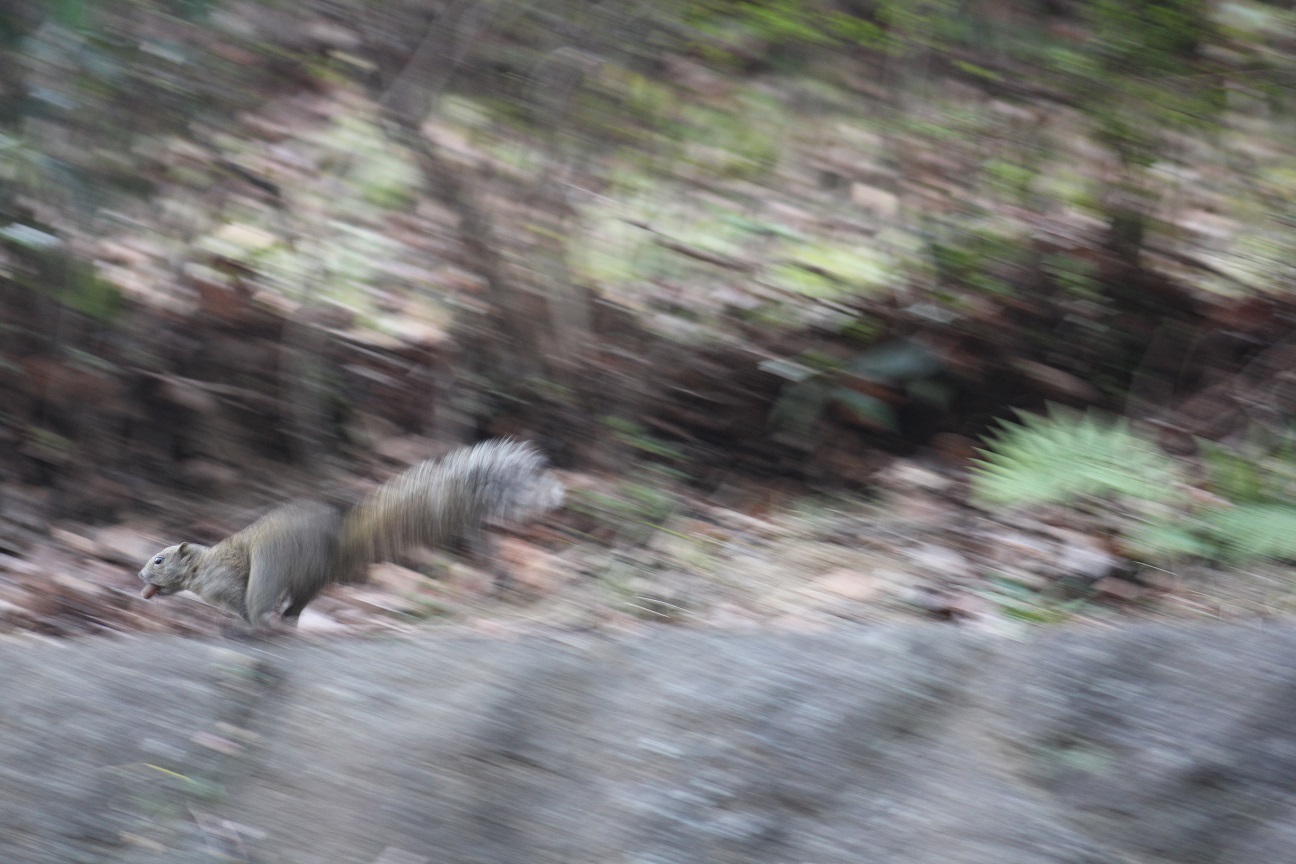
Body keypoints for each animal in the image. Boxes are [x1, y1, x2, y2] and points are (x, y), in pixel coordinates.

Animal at [138, 443, 562, 624]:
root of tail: (338, 546)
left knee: (275, 599)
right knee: (302, 599)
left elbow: (240, 602)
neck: (201, 567)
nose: (140, 576)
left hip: (274, 563)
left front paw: (237, 622)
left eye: (159, 560)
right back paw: (286, 617)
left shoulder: (227, 581)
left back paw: (265, 623)